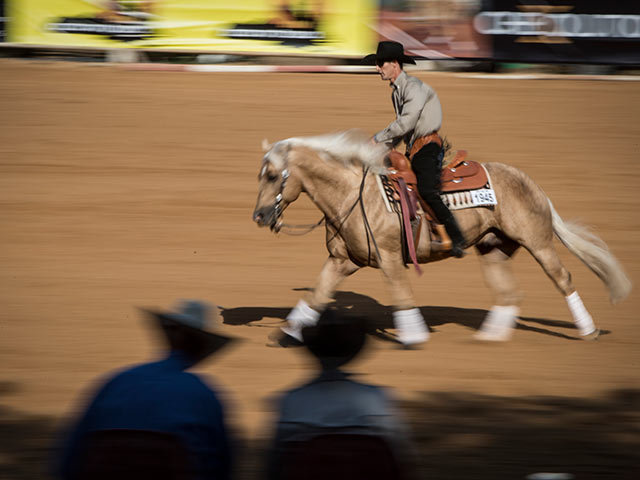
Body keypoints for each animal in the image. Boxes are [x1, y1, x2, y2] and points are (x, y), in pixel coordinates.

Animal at [251, 129, 632, 344]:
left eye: (271, 175)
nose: (259, 216)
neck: (354, 195)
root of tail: (529, 182)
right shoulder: (342, 261)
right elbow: (317, 294)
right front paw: (287, 333)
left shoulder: (390, 259)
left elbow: (403, 296)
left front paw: (415, 335)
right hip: (493, 248)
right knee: (509, 292)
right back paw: (489, 337)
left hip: (537, 242)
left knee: (562, 277)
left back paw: (587, 330)